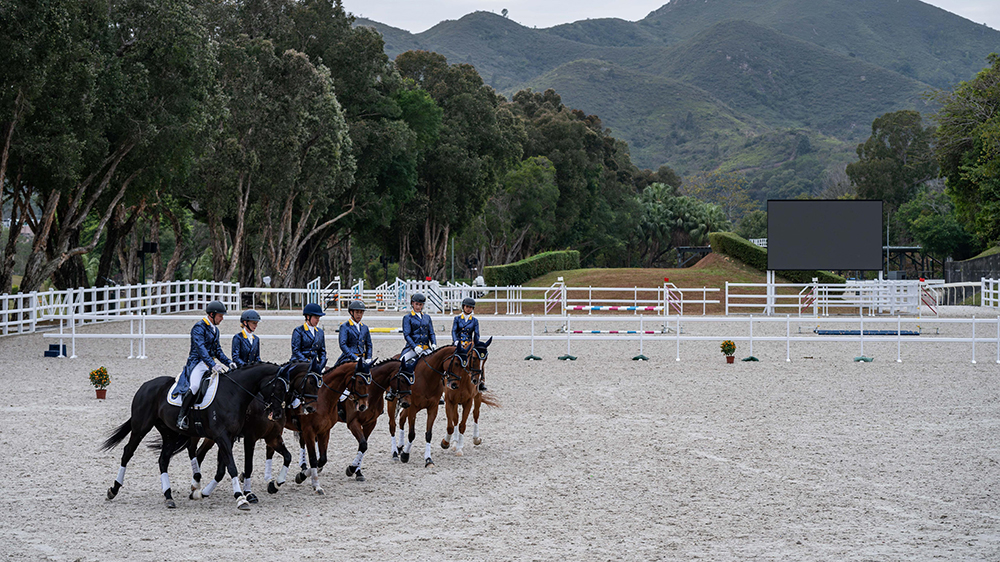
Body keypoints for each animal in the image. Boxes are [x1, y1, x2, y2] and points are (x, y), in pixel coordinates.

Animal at [102, 360, 286, 510]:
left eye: (287, 387)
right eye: (278, 387)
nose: (277, 413)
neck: (233, 393)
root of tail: (146, 385)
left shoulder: (230, 438)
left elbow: (224, 467)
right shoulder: (223, 438)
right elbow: (231, 467)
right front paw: (241, 498)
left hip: (169, 433)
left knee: (163, 459)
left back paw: (169, 497)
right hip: (141, 427)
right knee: (128, 452)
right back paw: (114, 489)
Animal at [290, 356, 372, 492]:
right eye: (360, 382)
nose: (363, 406)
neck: (324, 398)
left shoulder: (325, 430)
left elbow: (322, 459)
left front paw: (308, 473)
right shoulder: (309, 430)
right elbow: (313, 458)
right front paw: (304, 476)